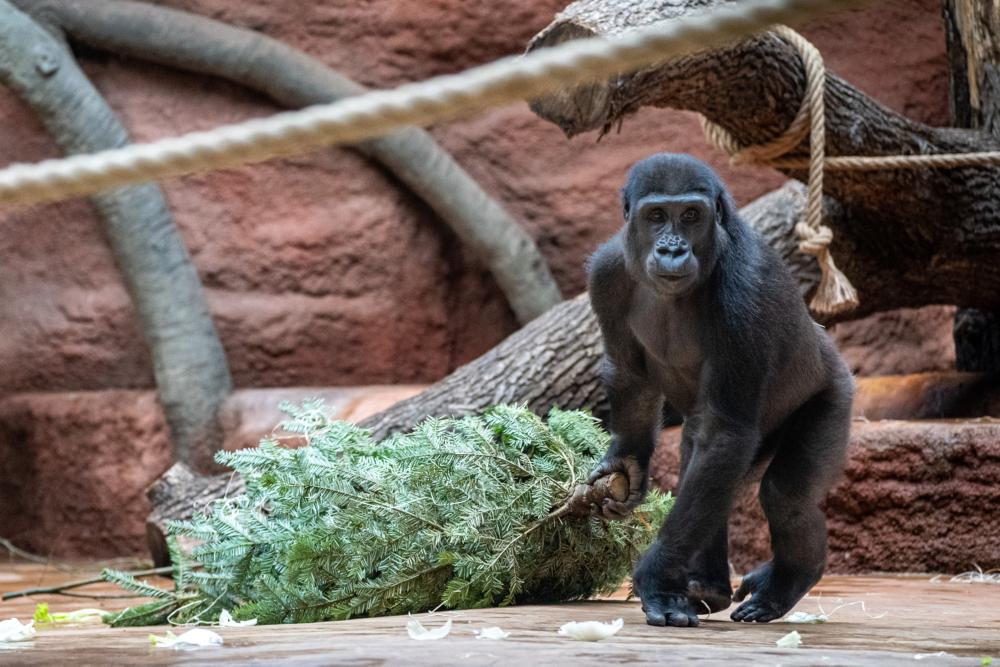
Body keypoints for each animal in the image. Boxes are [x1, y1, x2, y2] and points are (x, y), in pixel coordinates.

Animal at [588, 154, 856, 628]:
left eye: (691, 216)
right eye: (656, 216)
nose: (672, 249)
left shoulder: (745, 293)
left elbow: (727, 432)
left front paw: (656, 577)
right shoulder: (607, 271)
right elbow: (631, 377)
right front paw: (628, 460)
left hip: (835, 394)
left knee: (784, 494)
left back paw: (789, 580)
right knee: (703, 456)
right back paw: (708, 587)